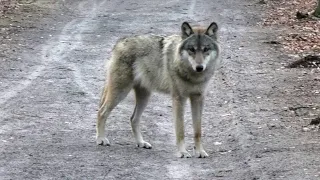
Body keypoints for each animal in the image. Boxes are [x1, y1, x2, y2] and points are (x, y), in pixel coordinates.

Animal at [95, 21, 220, 158]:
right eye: (191, 49)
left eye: (205, 49)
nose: (199, 67)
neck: (193, 76)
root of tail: (119, 42)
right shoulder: (179, 99)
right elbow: (180, 130)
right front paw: (182, 152)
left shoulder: (198, 98)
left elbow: (198, 131)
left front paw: (200, 152)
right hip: (120, 93)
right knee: (101, 112)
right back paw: (101, 139)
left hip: (144, 97)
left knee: (133, 119)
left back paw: (141, 143)